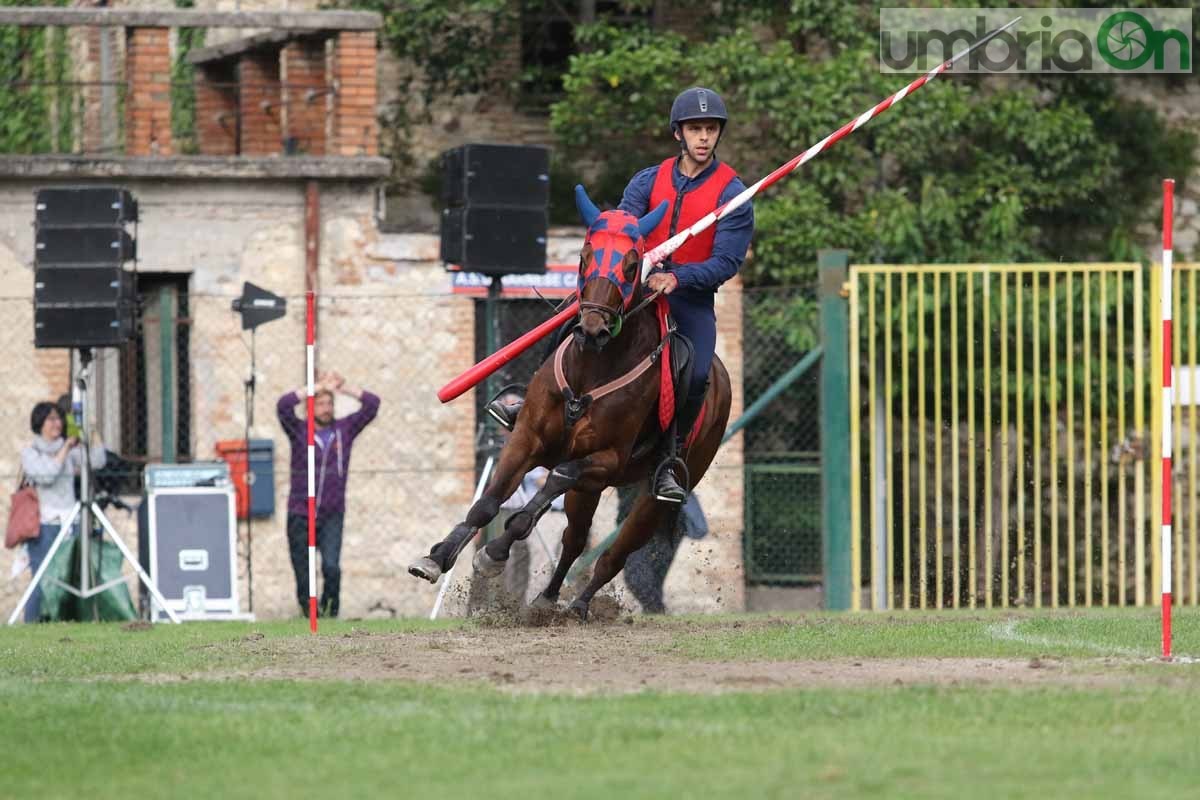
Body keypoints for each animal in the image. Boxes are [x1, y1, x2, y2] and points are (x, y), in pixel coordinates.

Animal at [410, 185, 729, 618]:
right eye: (584, 255)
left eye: (632, 265)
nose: (592, 328)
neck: (591, 371)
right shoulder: (525, 439)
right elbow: (487, 505)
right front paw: (438, 556)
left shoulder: (604, 461)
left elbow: (549, 487)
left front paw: (493, 552)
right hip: (589, 491)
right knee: (575, 540)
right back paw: (547, 599)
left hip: (655, 494)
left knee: (615, 553)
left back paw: (578, 604)